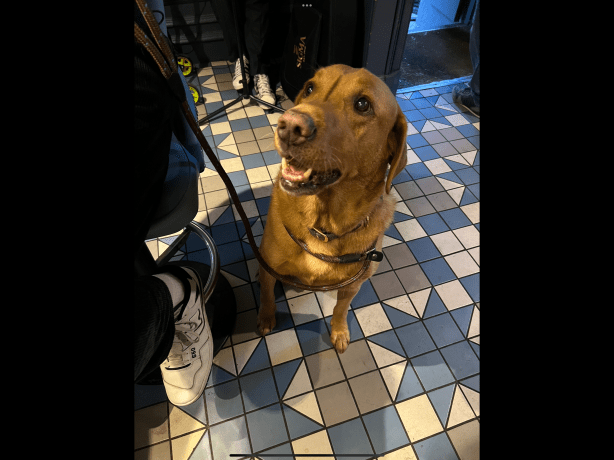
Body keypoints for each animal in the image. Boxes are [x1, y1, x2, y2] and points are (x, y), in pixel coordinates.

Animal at [256, 64, 407, 353]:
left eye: (362, 104)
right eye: (310, 88)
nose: (289, 126)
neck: (323, 225)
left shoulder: (353, 286)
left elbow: (340, 308)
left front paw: (338, 331)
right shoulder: (267, 267)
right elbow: (266, 294)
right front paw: (266, 318)